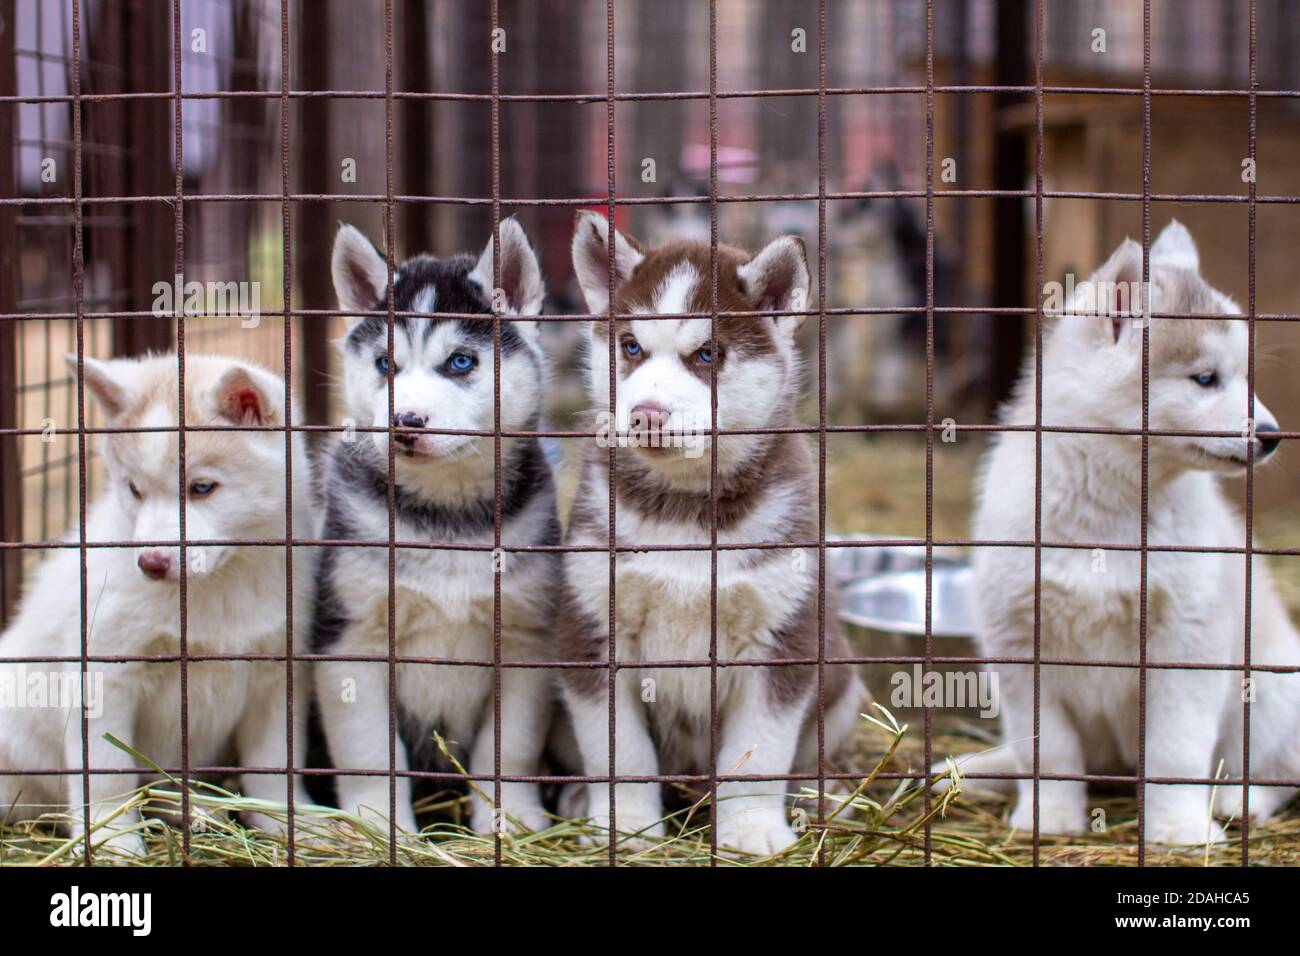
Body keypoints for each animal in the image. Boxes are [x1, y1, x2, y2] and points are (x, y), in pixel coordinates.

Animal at [0, 356, 313, 858]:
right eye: (134, 489)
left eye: (202, 487)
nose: (150, 562)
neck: (213, 590)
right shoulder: (104, 675)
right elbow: (107, 773)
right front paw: (113, 842)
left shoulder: (276, 675)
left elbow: (272, 763)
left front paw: (290, 824)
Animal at [315, 221, 564, 832]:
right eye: (385, 364)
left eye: (460, 362)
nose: (404, 422)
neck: (445, 519)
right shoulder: (350, 641)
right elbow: (369, 752)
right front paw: (379, 827)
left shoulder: (524, 640)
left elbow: (511, 748)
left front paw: (511, 819)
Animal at [559, 213, 863, 858]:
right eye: (631, 347)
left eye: (707, 354)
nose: (647, 414)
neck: (685, 509)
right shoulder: (593, 627)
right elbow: (619, 753)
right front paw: (626, 827)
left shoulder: (785, 638)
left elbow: (759, 754)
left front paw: (751, 828)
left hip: (845, 680)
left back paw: (819, 795)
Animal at [956, 222, 1300, 842]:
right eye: (1206, 379)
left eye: (1242, 377)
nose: (1271, 435)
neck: (1109, 509)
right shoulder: (1018, 644)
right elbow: (1049, 751)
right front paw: (1049, 818)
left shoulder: (1188, 643)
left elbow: (1175, 751)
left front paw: (1179, 829)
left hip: (1273, 692)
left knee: (1277, 770)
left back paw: (1241, 800)